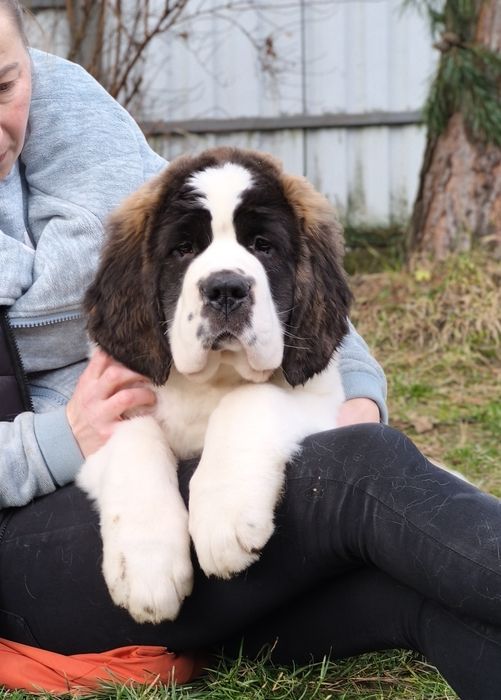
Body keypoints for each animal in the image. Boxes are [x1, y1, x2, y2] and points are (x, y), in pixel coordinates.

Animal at [77, 147, 352, 624]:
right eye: (184, 249)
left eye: (263, 246)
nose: (226, 289)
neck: (212, 380)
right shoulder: (106, 414)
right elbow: (135, 437)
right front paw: (146, 564)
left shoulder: (321, 404)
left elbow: (247, 399)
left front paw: (224, 515)